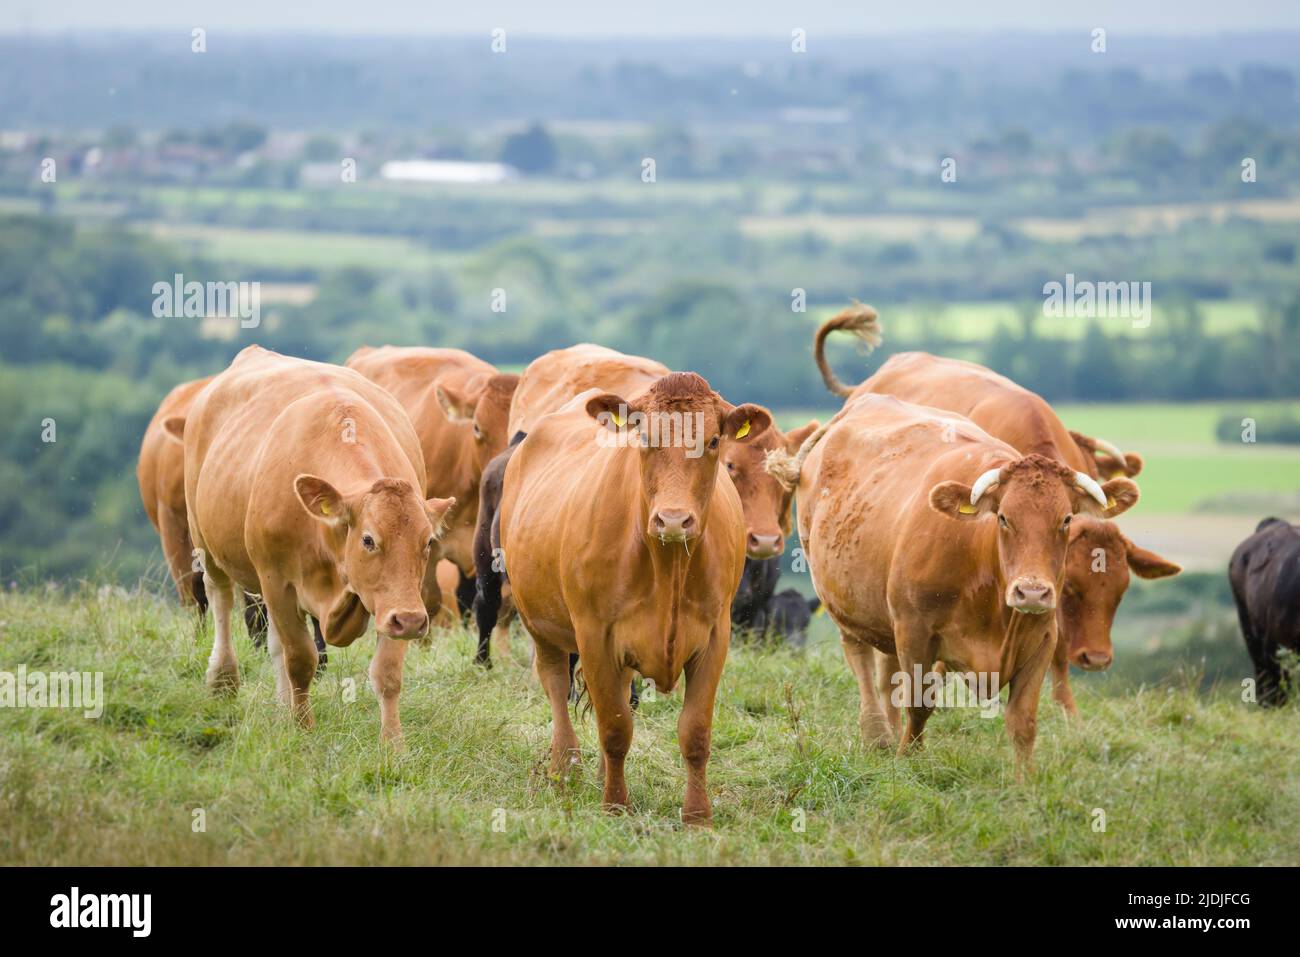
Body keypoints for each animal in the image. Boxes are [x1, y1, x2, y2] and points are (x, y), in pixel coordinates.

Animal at [790, 395, 1138, 769]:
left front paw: (1025, 780)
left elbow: (1023, 723)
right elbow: (919, 703)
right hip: (842, 600)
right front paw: (908, 761)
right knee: (861, 659)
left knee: (885, 673)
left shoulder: (1042, 637)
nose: (1031, 592)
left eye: (1067, 519)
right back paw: (877, 734)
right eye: (1003, 518)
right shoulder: (914, 631)